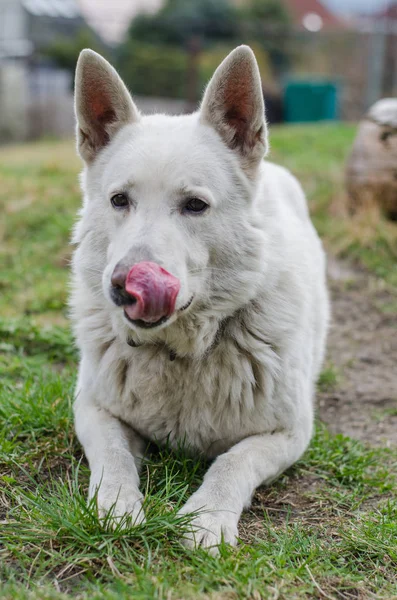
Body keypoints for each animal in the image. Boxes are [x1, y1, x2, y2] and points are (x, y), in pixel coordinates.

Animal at [70, 47, 328, 552]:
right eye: (119, 200)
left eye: (194, 206)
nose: (125, 284)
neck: (181, 353)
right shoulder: (90, 407)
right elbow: (112, 455)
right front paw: (116, 505)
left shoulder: (290, 433)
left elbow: (232, 461)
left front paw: (206, 518)